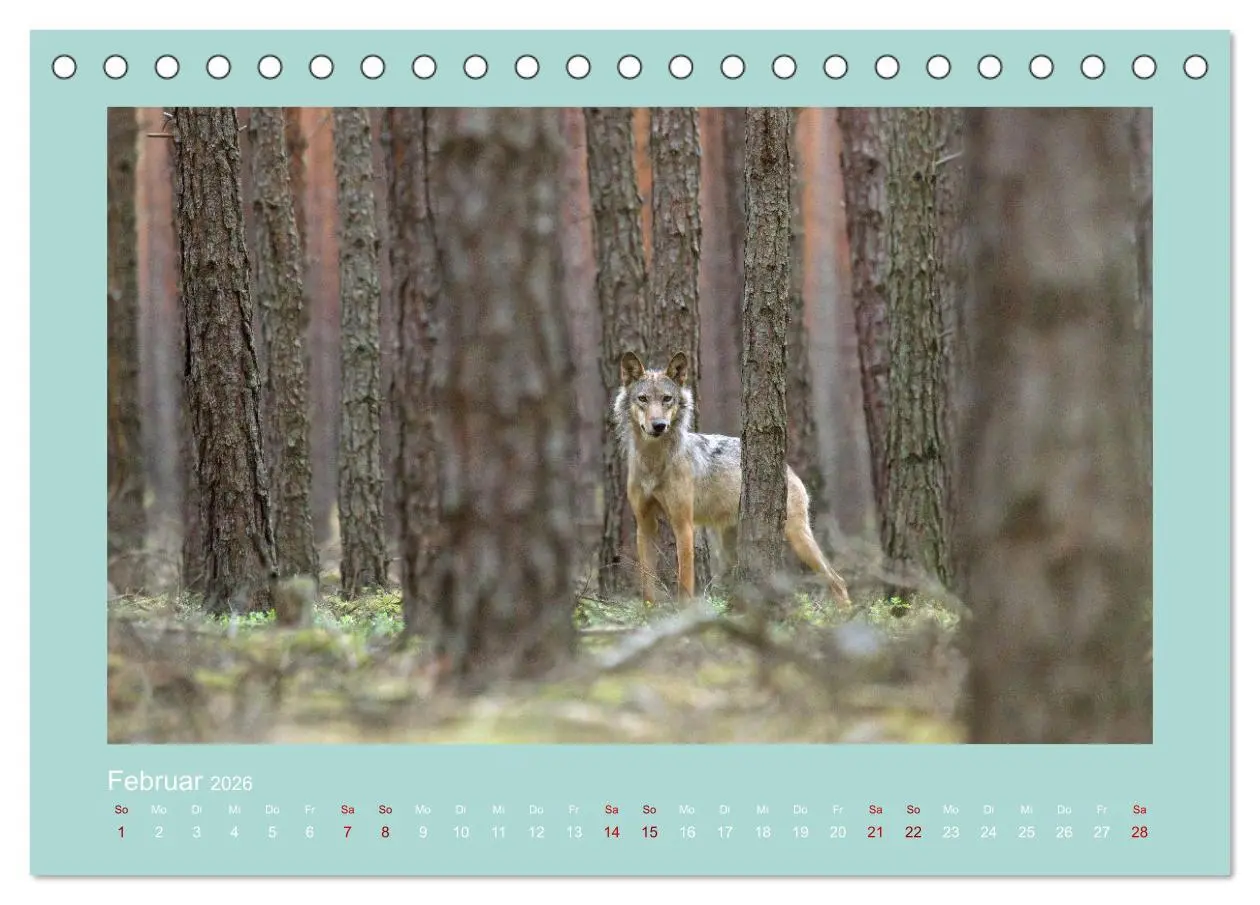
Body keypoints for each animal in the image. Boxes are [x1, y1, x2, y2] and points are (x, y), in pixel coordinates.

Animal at [613, 350, 853, 609]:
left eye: (667, 399)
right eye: (643, 399)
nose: (659, 425)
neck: (653, 463)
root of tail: (789, 469)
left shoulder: (683, 525)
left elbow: (685, 584)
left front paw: (684, 615)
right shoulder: (645, 524)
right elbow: (647, 584)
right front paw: (649, 614)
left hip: (797, 537)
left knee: (837, 580)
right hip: (731, 547)